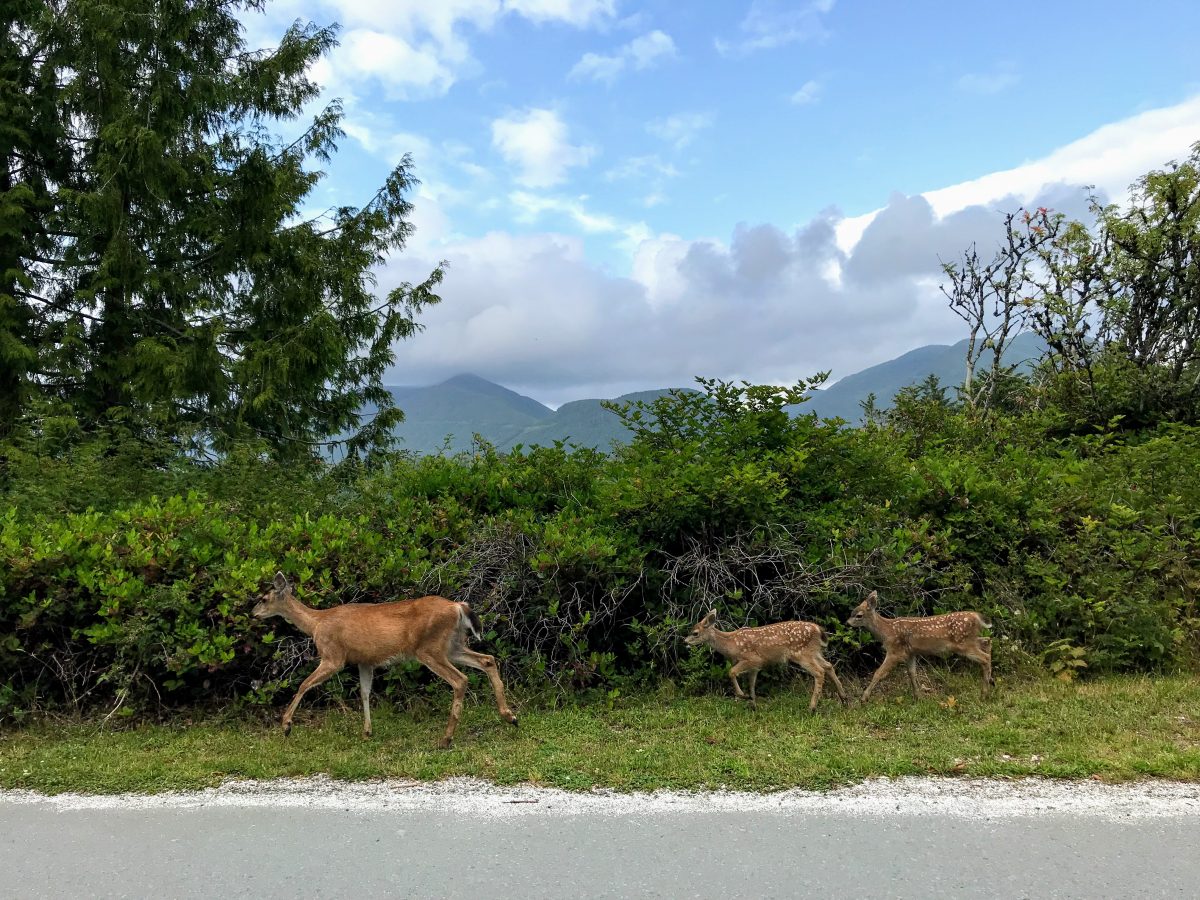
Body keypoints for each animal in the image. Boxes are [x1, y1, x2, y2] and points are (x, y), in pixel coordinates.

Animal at [250, 573, 518, 748]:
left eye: (263, 598)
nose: (253, 614)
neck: (316, 623)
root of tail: (458, 606)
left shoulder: (333, 656)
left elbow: (304, 684)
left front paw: (286, 725)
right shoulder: (365, 661)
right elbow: (365, 693)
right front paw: (367, 732)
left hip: (429, 648)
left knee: (460, 679)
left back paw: (445, 739)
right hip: (452, 645)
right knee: (488, 659)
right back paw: (510, 716)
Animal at [686, 614, 844, 710]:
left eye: (695, 633)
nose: (685, 641)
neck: (732, 645)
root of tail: (818, 630)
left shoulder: (752, 659)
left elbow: (731, 672)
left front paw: (742, 695)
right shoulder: (755, 667)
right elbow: (751, 684)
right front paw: (753, 704)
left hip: (802, 653)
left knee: (819, 672)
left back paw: (812, 707)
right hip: (814, 652)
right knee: (829, 666)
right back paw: (844, 698)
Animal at [854, 592, 993, 705]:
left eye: (859, 615)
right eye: (852, 613)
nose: (849, 622)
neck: (887, 631)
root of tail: (977, 616)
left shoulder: (895, 650)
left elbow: (879, 673)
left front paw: (863, 698)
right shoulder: (911, 652)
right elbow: (911, 673)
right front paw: (918, 698)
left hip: (963, 643)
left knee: (985, 657)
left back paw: (984, 694)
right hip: (970, 640)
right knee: (987, 641)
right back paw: (990, 685)